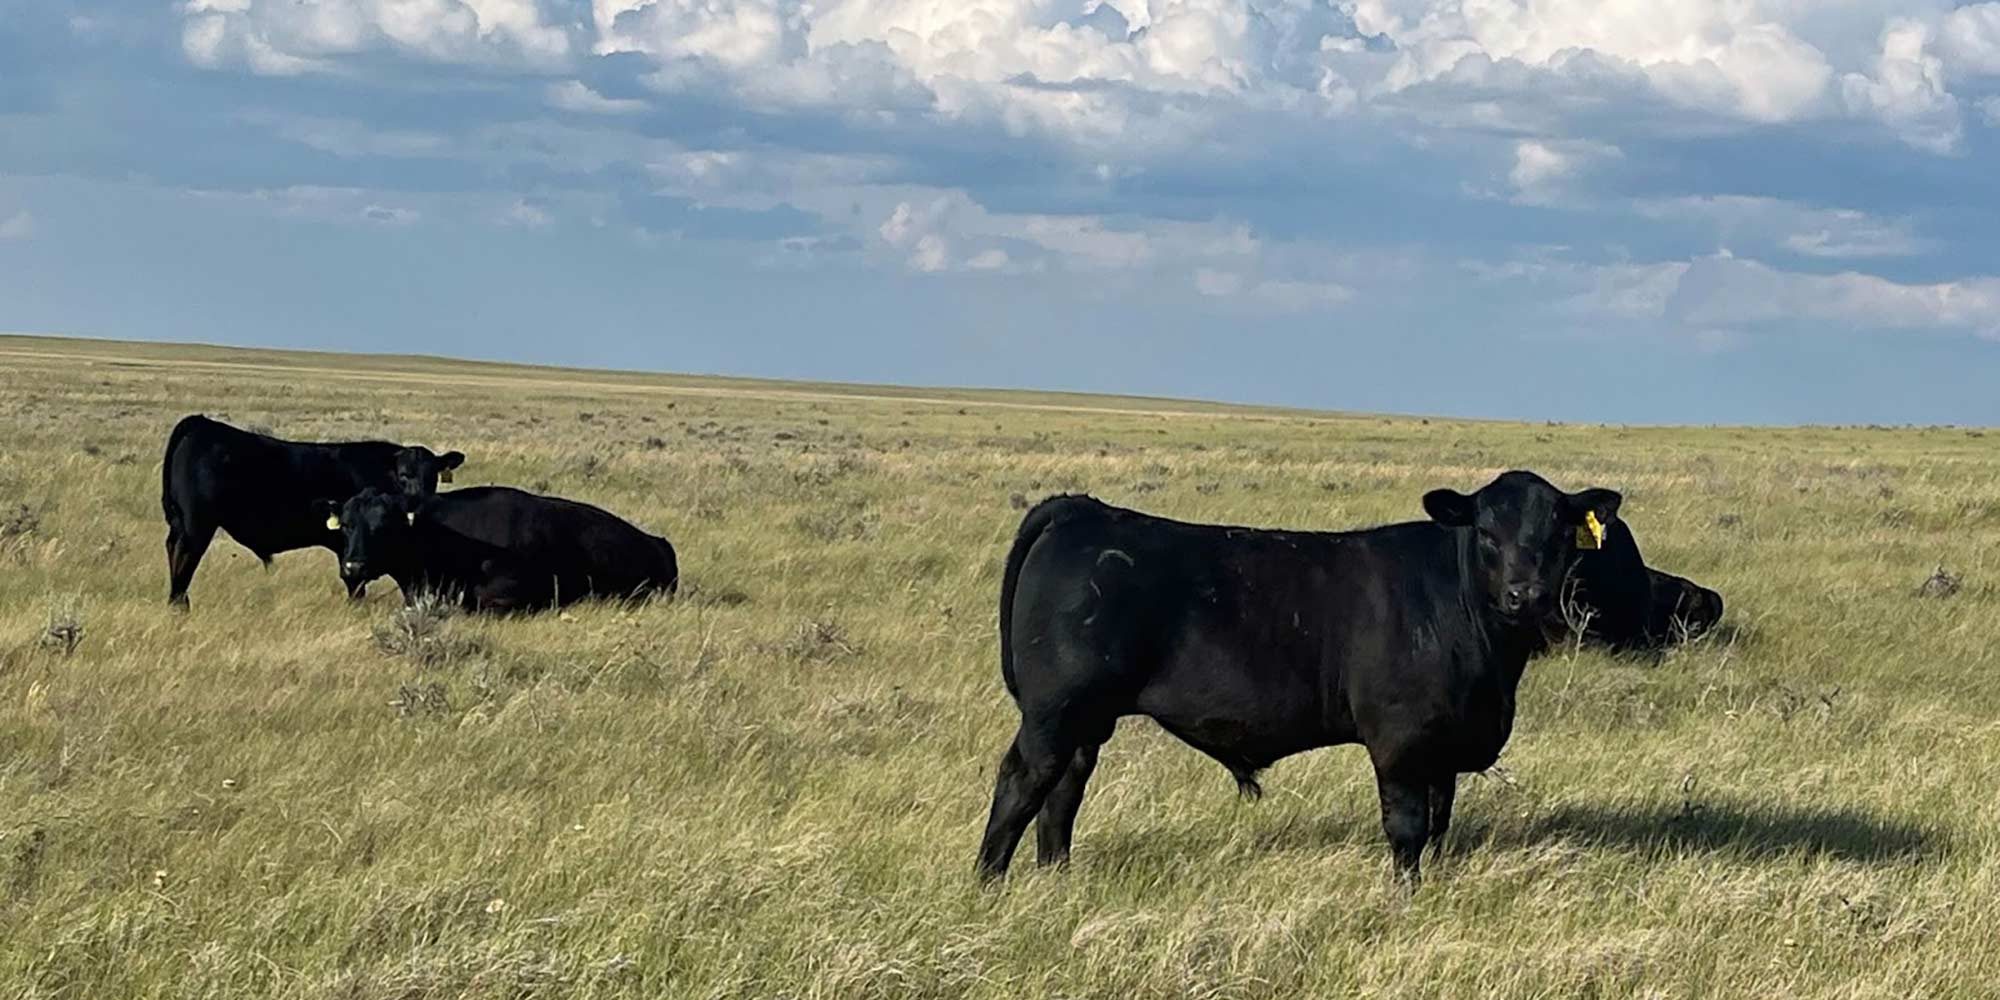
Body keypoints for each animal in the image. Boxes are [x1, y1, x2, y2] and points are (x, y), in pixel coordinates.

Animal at [162, 414, 466, 608]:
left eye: (433, 475)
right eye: (404, 475)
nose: (422, 498)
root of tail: (201, 423)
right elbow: (356, 585)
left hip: (180, 524)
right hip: (196, 526)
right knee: (184, 559)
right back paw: (178, 605)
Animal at [980, 472, 1624, 888]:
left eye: (1558, 535)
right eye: (1487, 533)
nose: (1525, 595)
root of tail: (1083, 510)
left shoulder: (1445, 745)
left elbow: (1441, 822)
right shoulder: (1400, 742)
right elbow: (1408, 827)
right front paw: (1406, 894)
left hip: (1088, 719)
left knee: (1064, 788)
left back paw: (1056, 878)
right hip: (1055, 711)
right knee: (1022, 782)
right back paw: (990, 883)